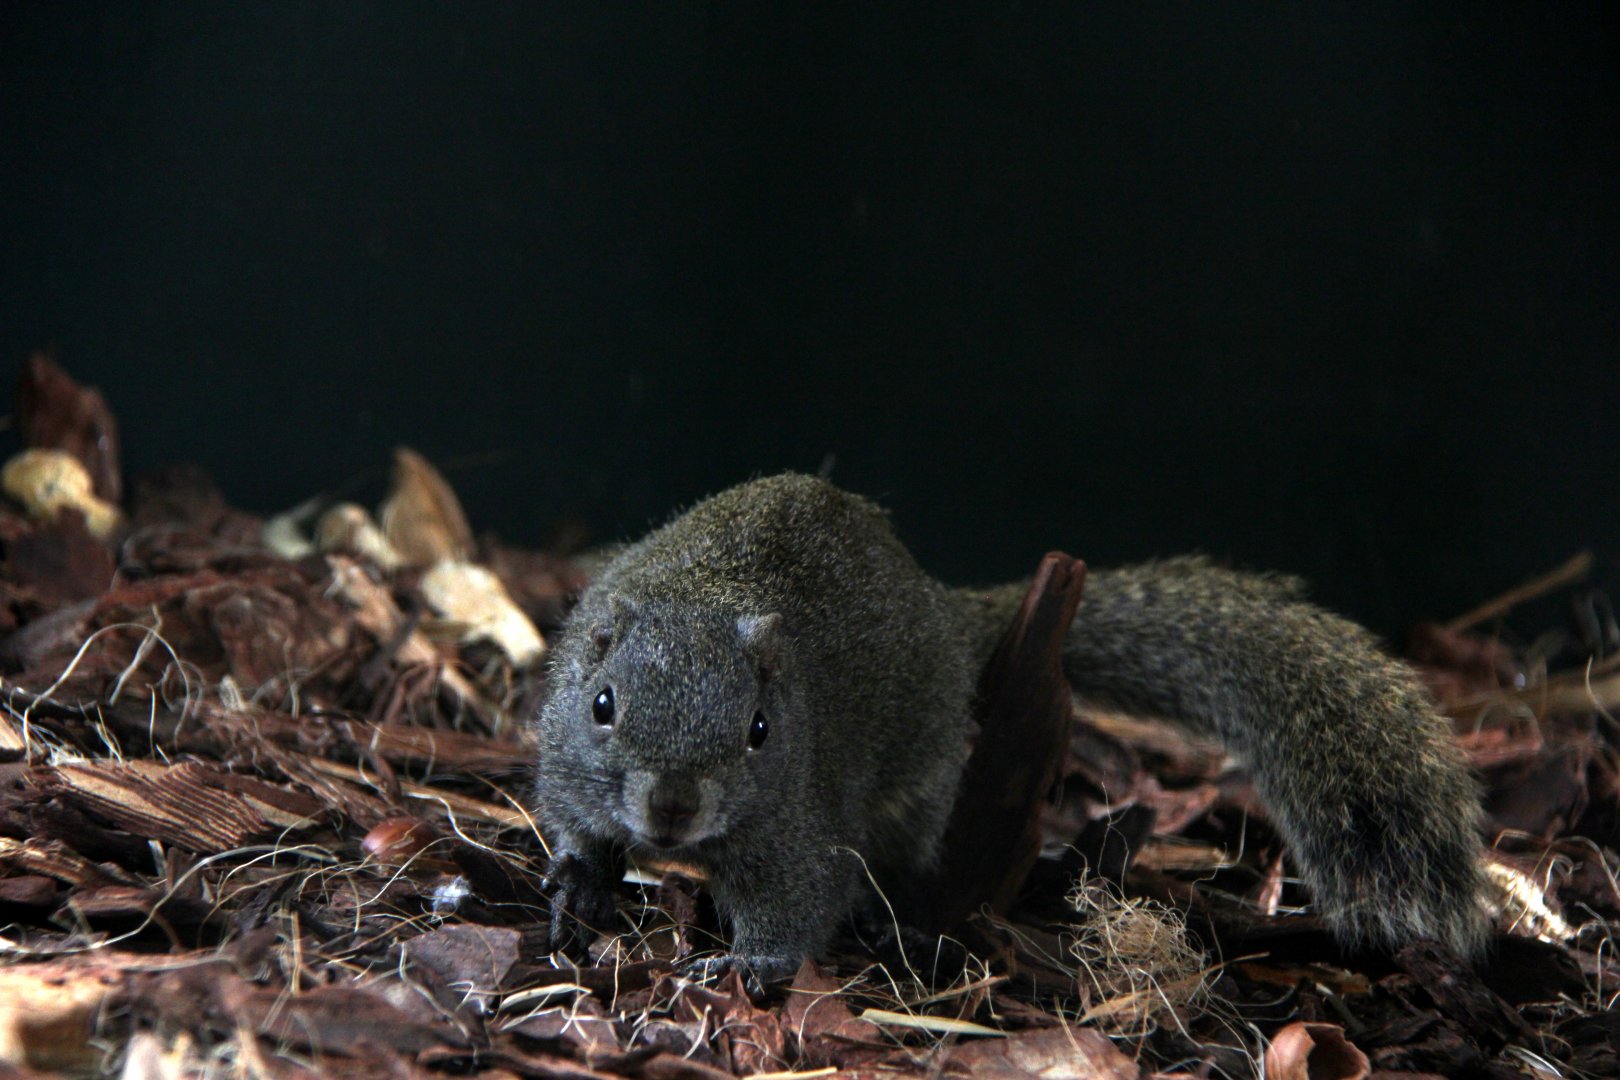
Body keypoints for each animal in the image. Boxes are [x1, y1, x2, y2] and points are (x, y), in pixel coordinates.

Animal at [532, 473, 1487, 986]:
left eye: (761, 731)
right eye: (601, 705)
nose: (671, 811)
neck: (706, 597)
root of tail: (943, 612)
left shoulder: (797, 826)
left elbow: (797, 904)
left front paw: (749, 967)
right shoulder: (567, 769)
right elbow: (578, 826)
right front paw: (581, 881)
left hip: (919, 781)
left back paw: (894, 919)